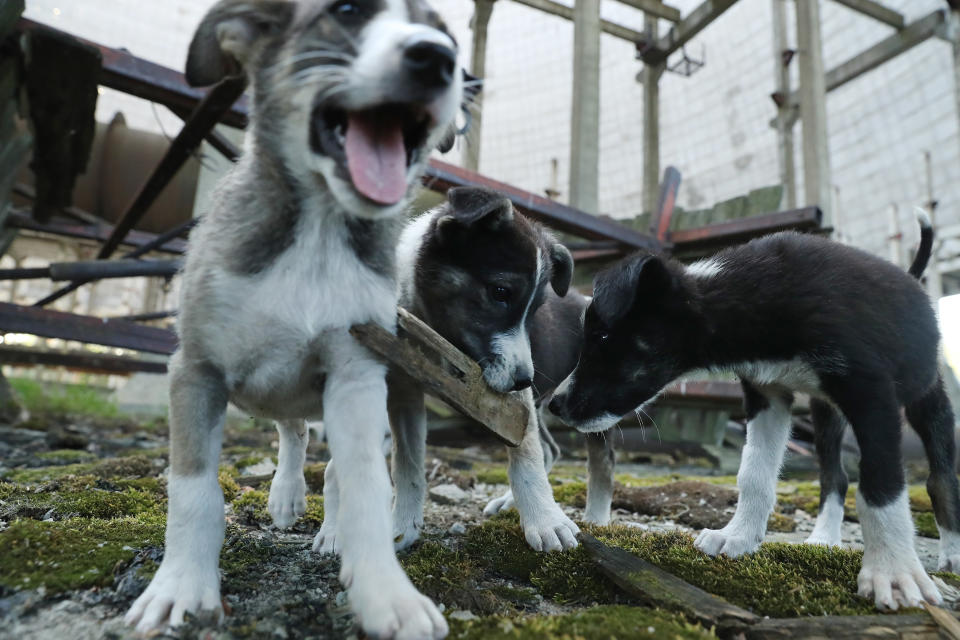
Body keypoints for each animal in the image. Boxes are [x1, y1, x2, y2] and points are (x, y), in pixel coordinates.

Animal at [125, 2, 464, 636]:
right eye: (347, 12)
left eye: (446, 34)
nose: (438, 58)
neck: (320, 230)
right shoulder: (196, 370)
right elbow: (194, 491)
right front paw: (181, 587)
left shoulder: (357, 374)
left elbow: (363, 485)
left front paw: (386, 593)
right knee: (292, 429)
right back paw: (284, 496)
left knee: (334, 459)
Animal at [548, 218, 960, 612]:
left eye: (602, 337)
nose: (555, 404)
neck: (753, 300)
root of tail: (911, 277)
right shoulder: (768, 392)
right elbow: (754, 474)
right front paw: (738, 536)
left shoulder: (872, 394)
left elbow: (881, 484)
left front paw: (892, 573)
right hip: (825, 413)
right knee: (835, 476)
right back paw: (824, 538)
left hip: (925, 395)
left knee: (941, 477)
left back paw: (951, 553)